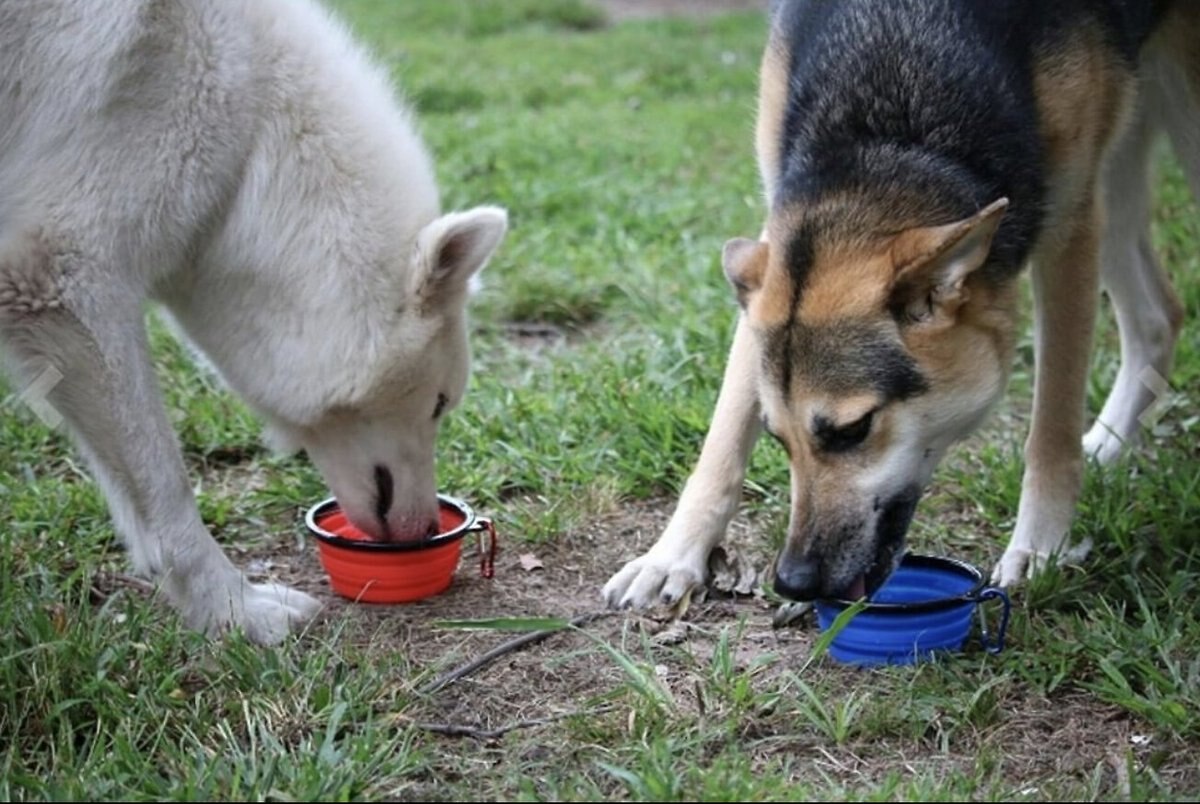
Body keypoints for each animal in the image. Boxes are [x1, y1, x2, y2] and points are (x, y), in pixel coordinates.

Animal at [0, 0, 506, 648]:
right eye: (441, 403)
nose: (423, 533)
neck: (250, 142)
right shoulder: (68, 276)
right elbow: (166, 488)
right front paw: (233, 610)